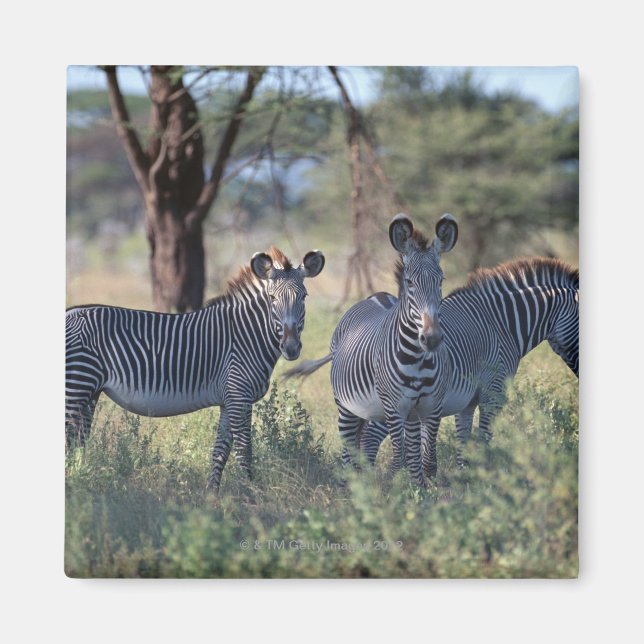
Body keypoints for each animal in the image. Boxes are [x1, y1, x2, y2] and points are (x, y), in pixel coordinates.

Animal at [65, 247, 325, 491]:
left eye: (304, 297)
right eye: (272, 298)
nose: (291, 348)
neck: (246, 335)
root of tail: (69, 312)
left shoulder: (228, 399)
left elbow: (220, 451)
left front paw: (213, 496)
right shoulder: (239, 396)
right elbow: (244, 450)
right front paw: (253, 494)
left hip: (89, 392)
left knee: (78, 442)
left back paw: (80, 482)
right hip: (76, 385)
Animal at [283, 213, 458, 487]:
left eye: (441, 281)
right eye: (409, 282)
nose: (431, 338)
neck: (418, 360)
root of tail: (377, 295)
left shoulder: (431, 407)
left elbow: (426, 460)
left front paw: (422, 492)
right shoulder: (394, 408)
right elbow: (399, 458)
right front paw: (393, 490)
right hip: (347, 406)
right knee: (348, 447)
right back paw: (350, 486)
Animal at [360, 257, 579, 478]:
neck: (502, 326)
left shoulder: (467, 400)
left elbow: (463, 440)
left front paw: (465, 476)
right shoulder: (493, 392)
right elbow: (483, 438)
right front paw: (485, 477)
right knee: (370, 439)